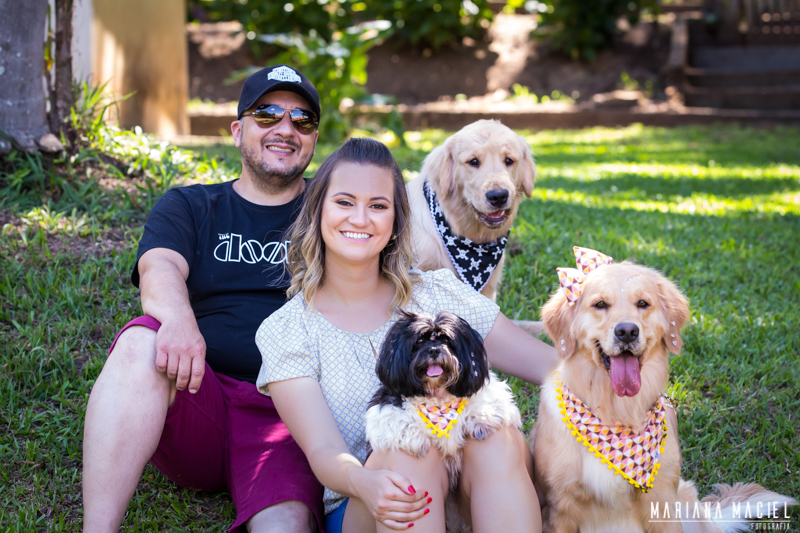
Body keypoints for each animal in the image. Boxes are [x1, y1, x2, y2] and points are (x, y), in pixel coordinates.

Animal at [365, 310, 521, 489]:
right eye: (419, 340)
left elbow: (489, 400)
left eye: (446, 340)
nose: (433, 350)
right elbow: (395, 419)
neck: (438, 396)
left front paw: (481, 422)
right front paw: (417, 440)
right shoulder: (384, 405)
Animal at [532, 246, 796, 533]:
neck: (617, 413)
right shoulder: (559, 505)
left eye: (642, 303)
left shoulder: (662, 502)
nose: (627, 331)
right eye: (600, 304)